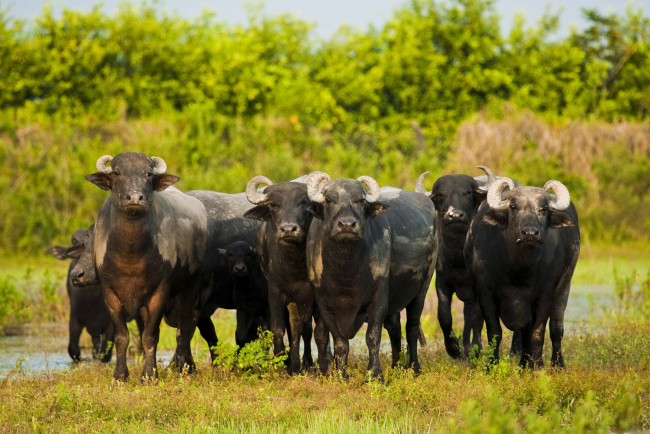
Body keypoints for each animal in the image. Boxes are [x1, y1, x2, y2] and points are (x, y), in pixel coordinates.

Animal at [85, 152, 204, 380]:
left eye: (148, 173)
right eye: (117, 173)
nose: (134, 198)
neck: (130, 256)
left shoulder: (160, 292)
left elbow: (150, 336)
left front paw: (149, 375)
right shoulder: (109, 293)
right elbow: (122, 336)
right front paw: (120, 376)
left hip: (190, 286)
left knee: (186, 327)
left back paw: (185, 366)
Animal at [242, 175, 330, 372]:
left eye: (304, 203)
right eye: (273, 204)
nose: (289, 230)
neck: (295, 267)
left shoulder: (317, 297)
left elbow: (320, 332)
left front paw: (322, 366)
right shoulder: (276, 293)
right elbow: (280, 329)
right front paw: (281, 364)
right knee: (296, 329)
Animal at [304, 173, 436, 380]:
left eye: (360, 201)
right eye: (330, 200)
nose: (347, 225)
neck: (345, 271)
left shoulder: (379, 299)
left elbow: (372, 338)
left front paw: (375, 374)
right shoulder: (324, 305)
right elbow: (340, 343)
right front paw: (341, 374)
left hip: (422, 288)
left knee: (412, 328)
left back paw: (414, 367)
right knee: (395, 328)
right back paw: (396, 365)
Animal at [460, 178, 576, 368]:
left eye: (544, 209)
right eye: (513, 207)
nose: (530, 233)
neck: (520, 270)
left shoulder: (545, 294)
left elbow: (537, 333)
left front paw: (535, 367)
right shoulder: (485, 293)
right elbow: (495, 332)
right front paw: (491, 366)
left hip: (565, 286)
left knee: (556, 329)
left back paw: (556, 365)